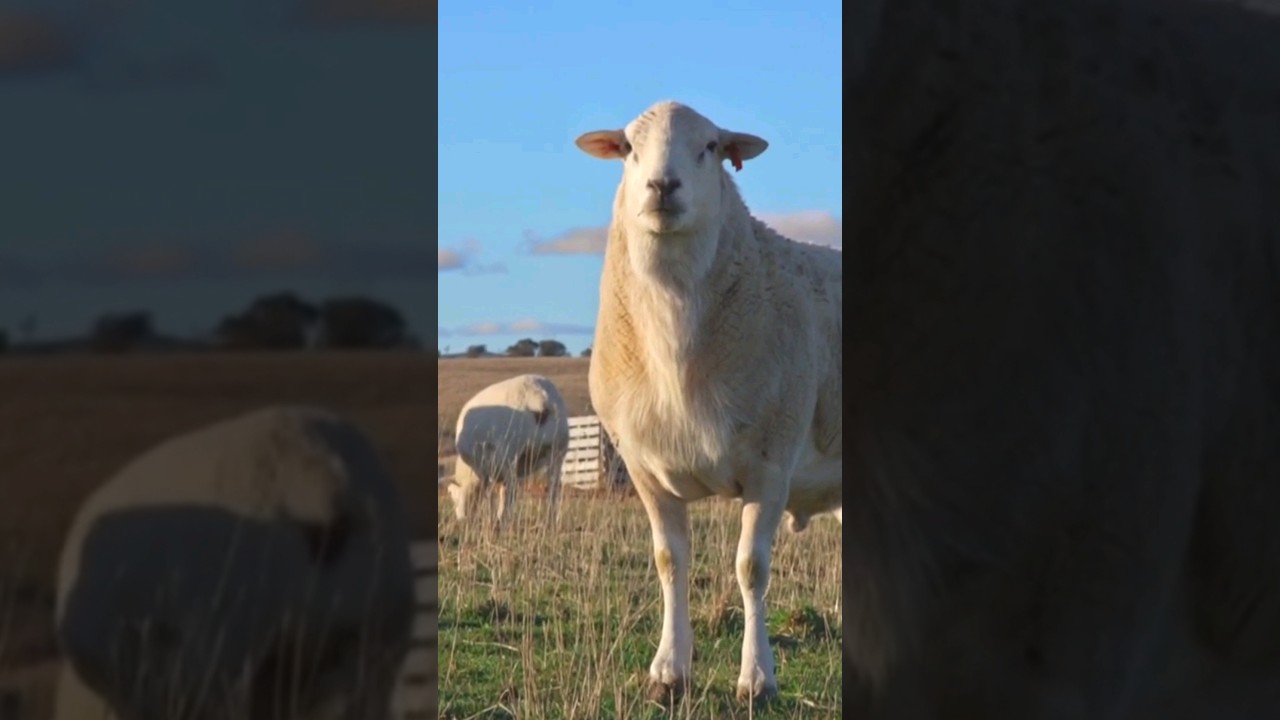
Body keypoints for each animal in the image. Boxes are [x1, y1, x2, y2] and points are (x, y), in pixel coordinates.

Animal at [443, 373, 571, 527]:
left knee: (513, 489)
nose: (461, 520)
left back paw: (506, 521)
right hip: (558, 450)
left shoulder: (483, 469)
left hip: (509, 453)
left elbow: (489, 494)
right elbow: (501, 491)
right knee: (554, 487)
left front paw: (490, 518)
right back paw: (549, 521)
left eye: (453, 498)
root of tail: (539, 398)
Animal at [574, 100, 842, 701]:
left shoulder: (771, 464)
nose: (662, 185)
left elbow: (751, 569)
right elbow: (670, 562)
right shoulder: (646, 471)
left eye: (712, 147)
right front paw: (668, 672)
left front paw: (757, 678)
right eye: (628, 148)